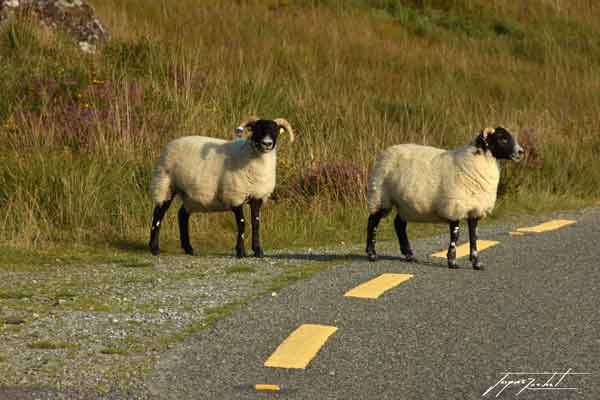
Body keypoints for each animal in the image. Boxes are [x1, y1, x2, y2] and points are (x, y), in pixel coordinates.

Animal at [150, 117, 296, 258]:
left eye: (275, 130)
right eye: (257, 129)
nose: (267, 143)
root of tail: (170, 144)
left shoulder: (257, 196)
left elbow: (256, 224)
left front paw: (258, 251)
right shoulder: (235, 196)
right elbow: (242, 223)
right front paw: (241, 252)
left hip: (189, 195)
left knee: (182, 215)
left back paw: (189, 249)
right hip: (165, 184)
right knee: (158, 214)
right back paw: (154, 249)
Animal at [364, 126, 524, 270]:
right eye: (502, 138)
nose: (521, 152)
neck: (474, 162)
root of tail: (386, 151)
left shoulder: (474, 209)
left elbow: (474, 237)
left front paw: (477, 263)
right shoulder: (454, 206)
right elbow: (455, 236)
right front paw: (452, 262)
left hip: (405, 204)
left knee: (399, 225)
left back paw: (409, 255)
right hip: (380, 195)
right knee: (373, 222)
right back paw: (372, 254)